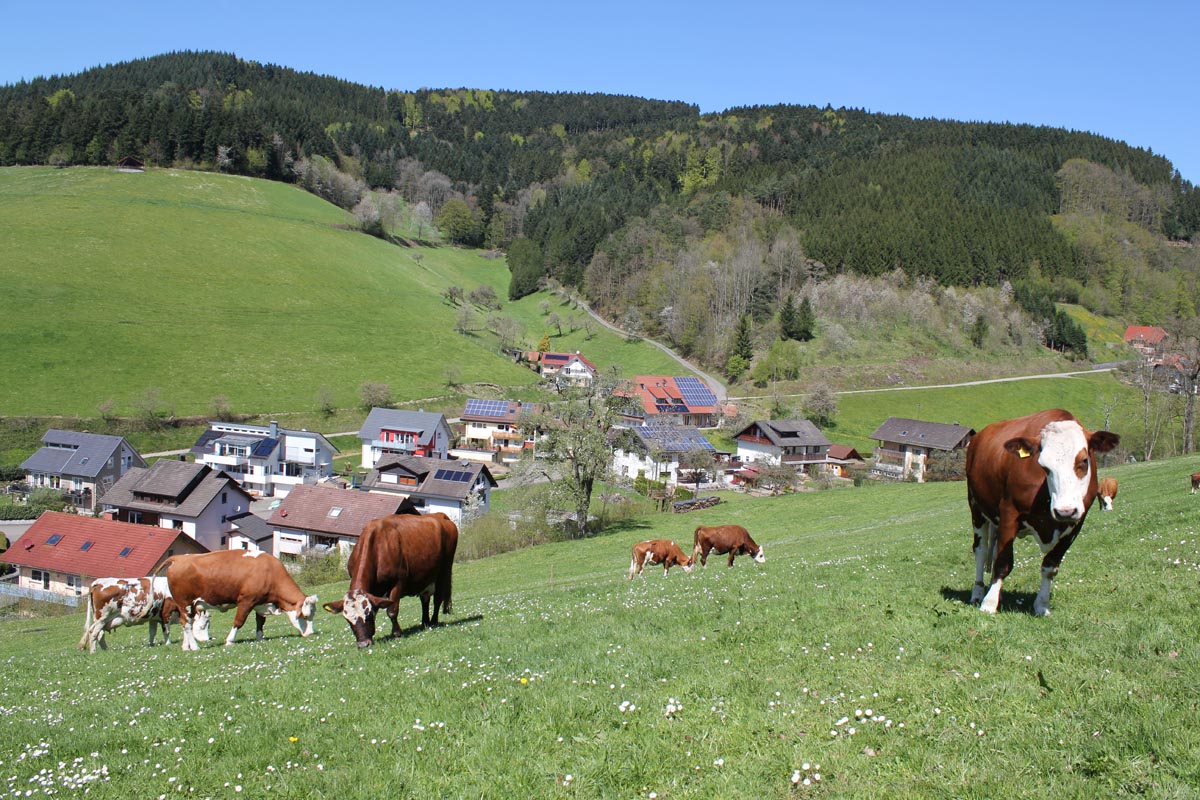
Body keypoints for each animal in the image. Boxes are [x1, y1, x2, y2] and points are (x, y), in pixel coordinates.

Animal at [166, 551, 324, 652]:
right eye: (305, 615)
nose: (310, 633)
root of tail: (179, 558)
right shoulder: (246, 601)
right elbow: (238, 621)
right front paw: (230, 640)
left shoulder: (260, 603)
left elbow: (260, 621)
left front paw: (260, 638)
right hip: (185, 604)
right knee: (187, 624)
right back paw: (195, 647)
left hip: (189, 606)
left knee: (185, 624)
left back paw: (186, 646)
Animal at [321, 513, 456, 652]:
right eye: (347, 619)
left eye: (368, 616)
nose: (363, 644)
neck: (377, 548)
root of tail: (440, 515)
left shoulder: (398, 582)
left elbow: (392, 610)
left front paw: (396, 633)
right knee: (425, 599)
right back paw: (425, 622)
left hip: (444, 571)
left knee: (438, 598)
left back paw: (433, 621)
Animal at [960, 410, 1118, 618]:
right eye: (1044, 466)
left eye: (1084, 461)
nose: (1065, 510)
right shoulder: (1009, 513)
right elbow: (1002, 563)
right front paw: (989, 603)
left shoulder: (1076, 523)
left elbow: (1050, 566)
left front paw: (1042, 605)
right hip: (976, 508)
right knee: (981, 550)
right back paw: (978, 593)